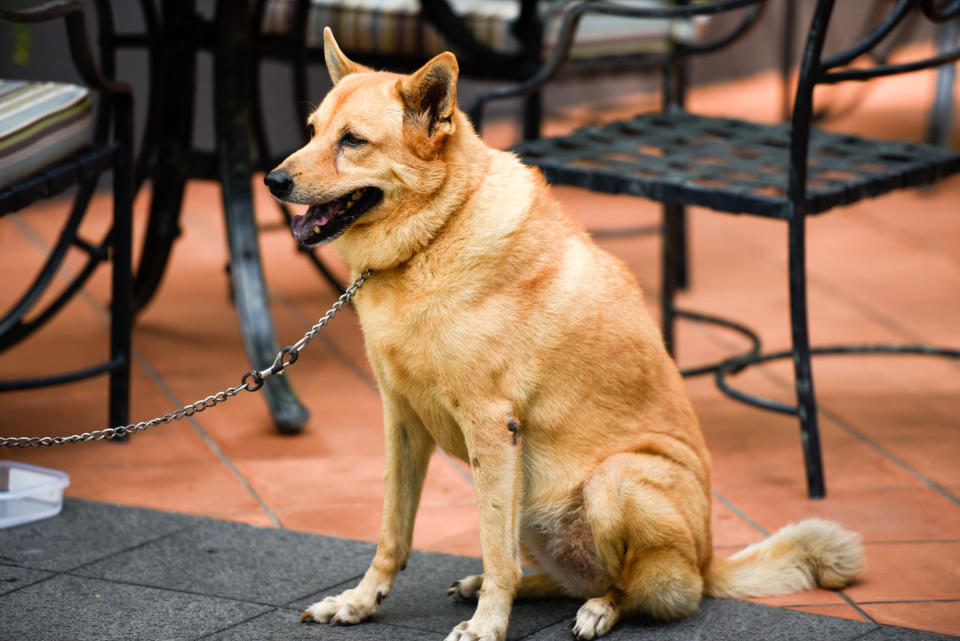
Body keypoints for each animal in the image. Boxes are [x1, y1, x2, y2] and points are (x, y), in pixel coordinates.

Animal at [266, 30, 868, 640]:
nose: (272, 181)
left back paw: (600, 609)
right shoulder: (403, 421)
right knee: (563, 575)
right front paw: (360, 603)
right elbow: (393, 532)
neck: (437, 233)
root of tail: (707, 560)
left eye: (353, 141)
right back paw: (499, 588)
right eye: (312, 131)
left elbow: (493, 547)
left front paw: (487, 627)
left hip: (613, 482)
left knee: (641, 587)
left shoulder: (491, 427)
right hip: (533, 506)